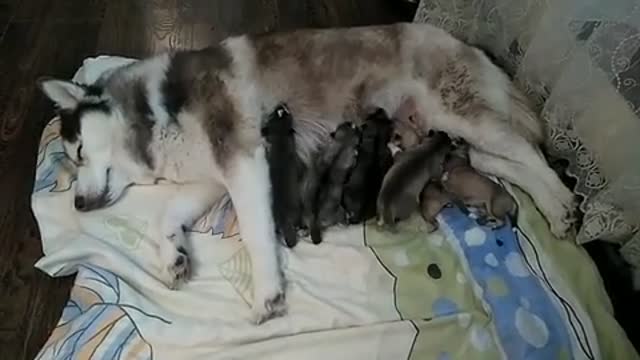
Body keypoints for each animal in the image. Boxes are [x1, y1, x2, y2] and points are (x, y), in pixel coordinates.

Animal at [36, 22, 576, 324]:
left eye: (78, 151)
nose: (78, 202)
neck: (153, 110)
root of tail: (465, 42)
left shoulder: (244, 159)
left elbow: (256, 234)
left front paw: (269, 294)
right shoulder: (212, 176)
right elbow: (164, 215)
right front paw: (173, 254)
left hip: (459, 112)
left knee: (527, 150)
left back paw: (563, 205)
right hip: (445, 133)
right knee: (497, 162)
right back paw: (546, 204)